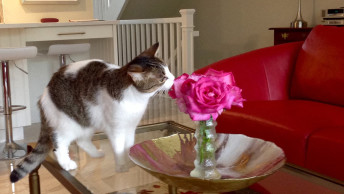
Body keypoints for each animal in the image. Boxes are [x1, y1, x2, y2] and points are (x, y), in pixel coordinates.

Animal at [10, 43, 175, 183]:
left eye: (168, 70)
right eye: (163, 77)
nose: (174, 78)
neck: (136, 98)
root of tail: (45, 93)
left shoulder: (130, 127)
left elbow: (129, 146)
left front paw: (132, 159)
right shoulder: (116, 129)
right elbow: (119, 148)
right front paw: (121, 166)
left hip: (86, 120)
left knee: (81, 140)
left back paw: (96, 154)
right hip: (68, 122)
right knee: (59, 142)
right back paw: (66, 163)